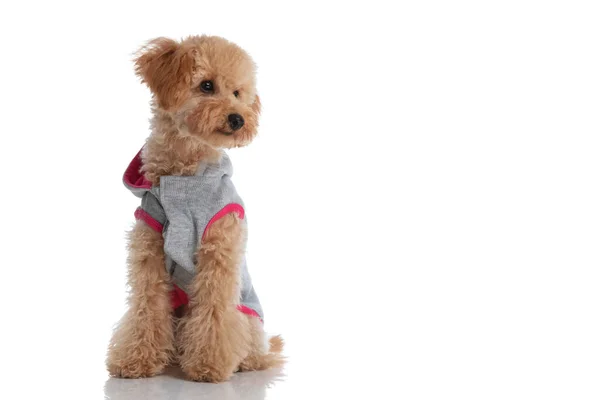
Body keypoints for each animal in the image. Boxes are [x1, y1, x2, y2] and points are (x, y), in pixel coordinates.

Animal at [107, 36, 284, 382]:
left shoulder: (219, 250)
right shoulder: (149, 248)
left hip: (249, 319)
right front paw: (136, 359)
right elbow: (146, 306)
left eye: (237, 93)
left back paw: (244, 361)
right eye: (206, 85)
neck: (184, 177)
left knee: (251, 346)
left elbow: (214, 310)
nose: (238, 119)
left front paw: (208, 364)